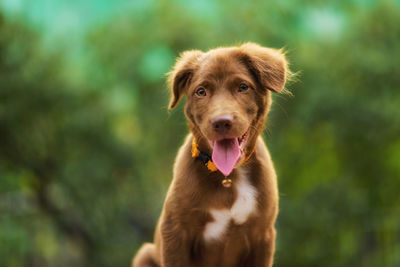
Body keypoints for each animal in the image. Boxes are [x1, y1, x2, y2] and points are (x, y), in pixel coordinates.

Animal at [134, 43, 290, 267]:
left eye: (243, 87)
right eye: (201, 91)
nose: (221, 122)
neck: (228, 177)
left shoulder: (263, 235)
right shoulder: (174, 231)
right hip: (145, 253)